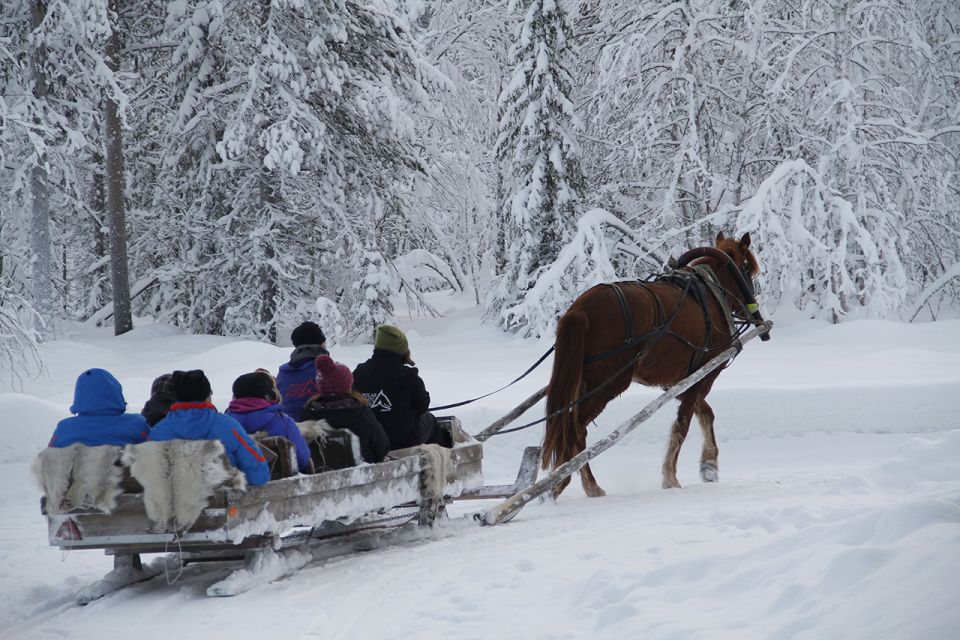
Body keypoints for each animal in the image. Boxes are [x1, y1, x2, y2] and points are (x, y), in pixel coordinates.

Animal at [544, 232, 760, 498]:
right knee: (575, 431)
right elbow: (683, 425)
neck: (711, 293)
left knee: (568, 428)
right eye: (747, 268)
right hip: (607, 384)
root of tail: (581, 309)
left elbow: (706, 414)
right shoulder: (705, 373)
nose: (751, 308)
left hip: (583, 381)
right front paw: (671, 478)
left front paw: (709, 466)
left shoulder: (679, 381)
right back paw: (584, 485)